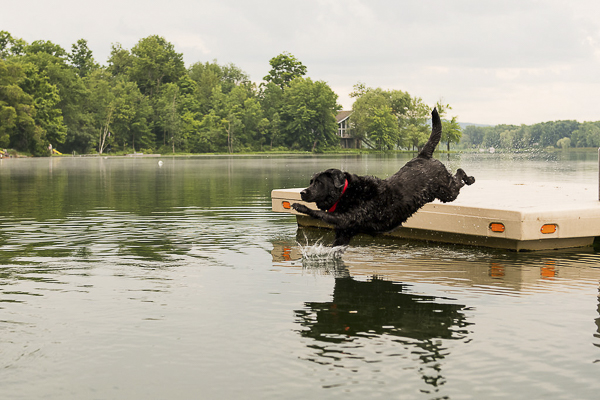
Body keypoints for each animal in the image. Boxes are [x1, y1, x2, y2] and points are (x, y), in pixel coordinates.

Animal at [292, 109, 476, 247]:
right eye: (310, 182)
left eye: (318, 183)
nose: (302, 192)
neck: (347, 192)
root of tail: (422, 156)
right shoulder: (343, 234)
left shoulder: (347, 218)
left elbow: (317, 213)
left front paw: (301, 207)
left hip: (447, 191)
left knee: (459, 175)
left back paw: (470, 178)